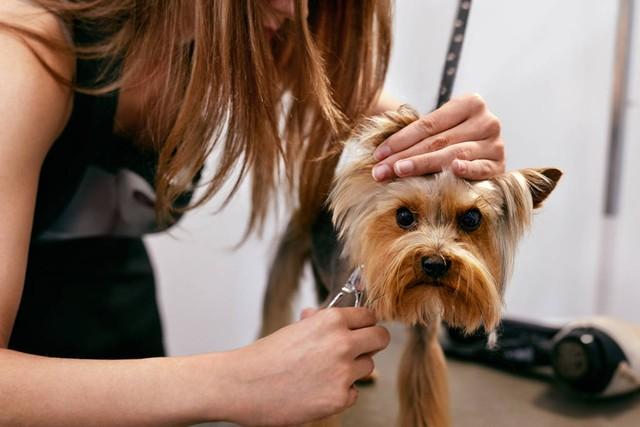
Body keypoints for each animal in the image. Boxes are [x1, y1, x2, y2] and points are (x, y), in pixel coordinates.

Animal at [260, 107, 560, 427]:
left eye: (471, 219)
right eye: (404, 216)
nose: (435, 263)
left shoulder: (423, 334)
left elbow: (422, 389)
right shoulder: (339, 314)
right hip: (293, 243)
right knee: (278, 296)